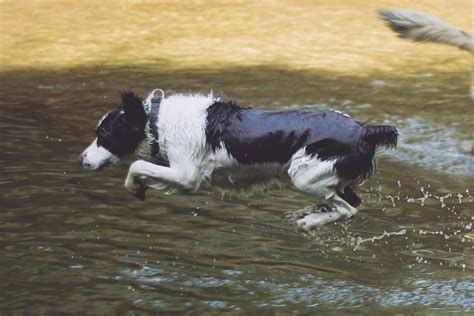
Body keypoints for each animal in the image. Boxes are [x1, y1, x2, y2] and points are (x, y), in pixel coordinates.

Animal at [78, 90, 396, 231]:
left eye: (103, 135)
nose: (81, 159)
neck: (157, 121)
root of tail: (364, 129)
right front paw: (140, 186)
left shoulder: (187, 176)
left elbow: (137, 165)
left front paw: (135, 187)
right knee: (350, 202)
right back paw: (307, 213)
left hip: (303, 175)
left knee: (348, 209)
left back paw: (310, 221)